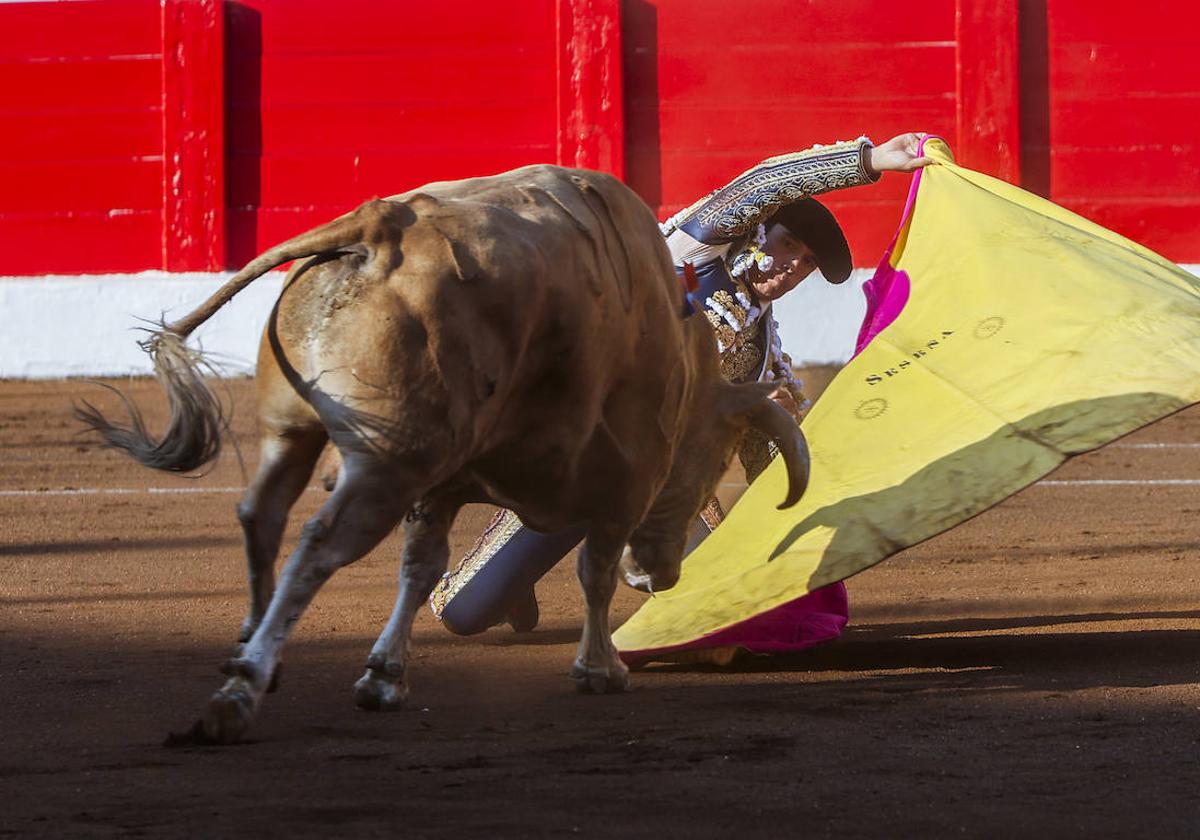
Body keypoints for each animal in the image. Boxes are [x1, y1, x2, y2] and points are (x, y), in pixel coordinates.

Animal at [79, 165, 811, 739]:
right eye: (712, 462)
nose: (662, 575)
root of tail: (380, 227)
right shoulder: (621, 488)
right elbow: (594, 573)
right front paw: (599, 669)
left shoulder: (446, 483)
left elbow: (421, 567)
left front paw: (384, 676)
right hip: (386, 463)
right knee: (318, 544)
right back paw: (238, 694)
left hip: (293, 432)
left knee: (262, 515)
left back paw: (256, 654)